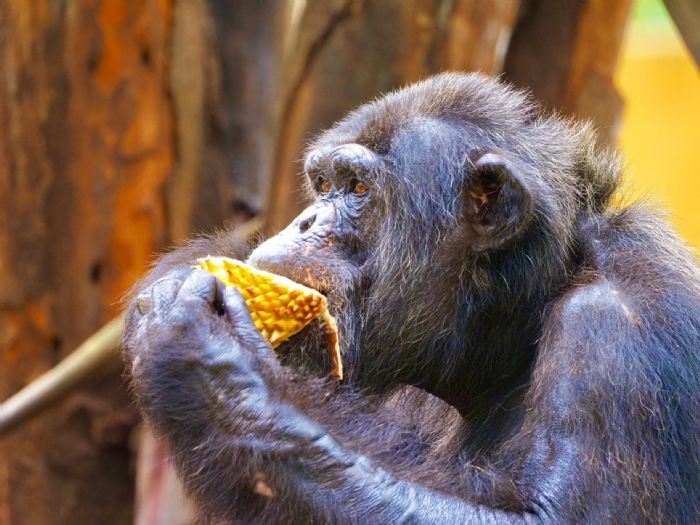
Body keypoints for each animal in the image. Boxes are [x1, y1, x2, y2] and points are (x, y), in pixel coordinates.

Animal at [121, 73, 700, 524]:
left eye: (357, 189)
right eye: (323, 184)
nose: (304, 219)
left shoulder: (616, 337)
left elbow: (559, 517)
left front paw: (212, 362)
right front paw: (175, 287)